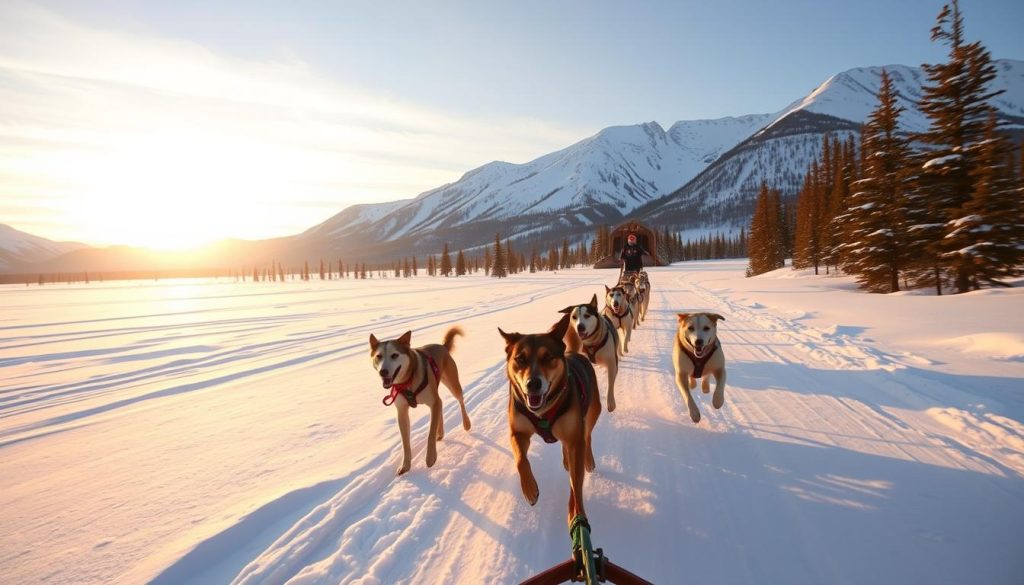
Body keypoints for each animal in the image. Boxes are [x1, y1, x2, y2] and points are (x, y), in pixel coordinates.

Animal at [368, 329, 471, 475]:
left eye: (395, 355)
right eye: (378, 356)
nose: (383, 371)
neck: (408, 381)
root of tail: (443, 346)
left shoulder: (433, 402)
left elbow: (430, 434)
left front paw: (430, 458)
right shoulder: (402, 412)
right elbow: (405, 442)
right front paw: (405, 465)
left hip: (453, 385)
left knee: (460, 400)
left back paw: (466, 423)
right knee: (441, 404)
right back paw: (440, 433)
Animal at [499, 315, 602, 532]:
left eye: (548, 357)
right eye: (520, 358)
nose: (533, 384)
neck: (543, 411)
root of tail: (574, 352)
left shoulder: (575, 439)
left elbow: (576, 484)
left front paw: (576, 512)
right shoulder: (518, 432)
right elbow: (521, 460)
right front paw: (530, 489)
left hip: (591, 413)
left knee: (587, 436)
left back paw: (588, 460)